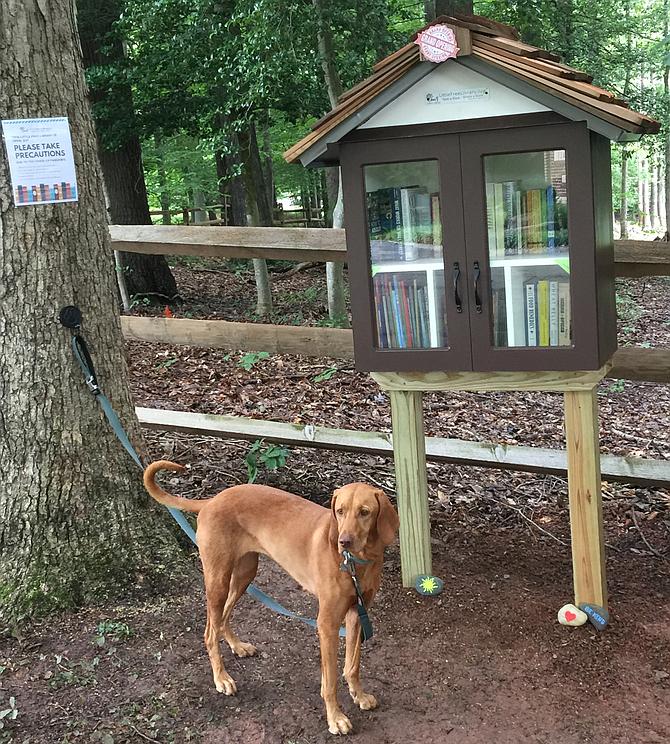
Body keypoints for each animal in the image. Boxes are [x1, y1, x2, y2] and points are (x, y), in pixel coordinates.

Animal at [144, 462, 400, 736]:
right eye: (340, 511)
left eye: (364, 512)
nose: (344, 541)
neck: (356, 563)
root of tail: (212, 500)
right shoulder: (327, 624)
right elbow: (329, 680)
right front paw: (335, 718)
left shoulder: (357, 614)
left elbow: (352, 666)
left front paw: (359, 696)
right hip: (218, 579)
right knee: (209, 631)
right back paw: (221, 678)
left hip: (245, 574)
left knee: (222, 617)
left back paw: (238, 646)